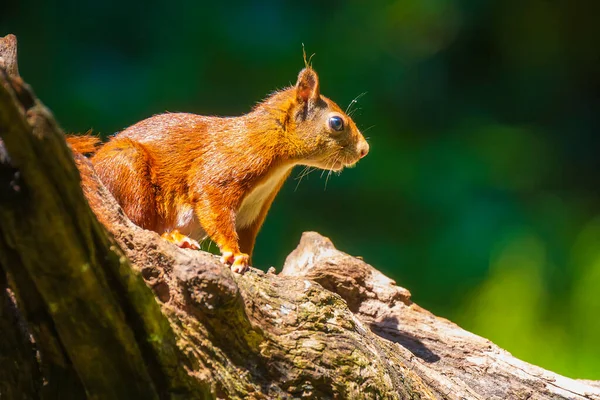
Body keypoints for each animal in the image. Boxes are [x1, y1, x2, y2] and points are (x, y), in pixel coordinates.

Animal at [69, 65, 370, 274]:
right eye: (336, 122)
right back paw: (175, 237)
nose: (364, 150)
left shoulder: (253, 211)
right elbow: (214, 210)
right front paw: (234, 254)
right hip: (128, 169)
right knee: (138, 224)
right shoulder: (220, 172)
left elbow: (245, 235)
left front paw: (251, 261)